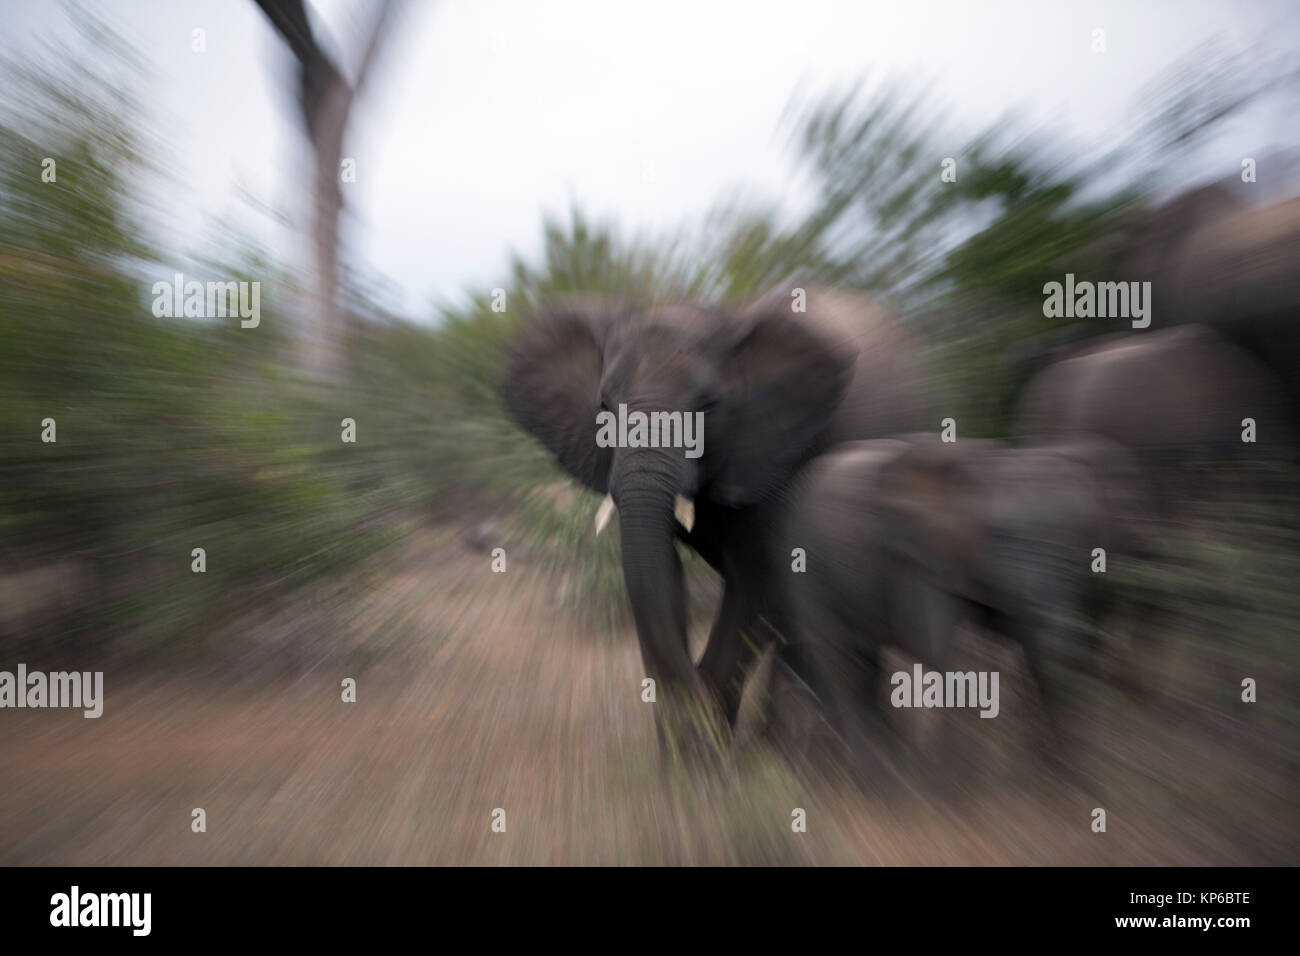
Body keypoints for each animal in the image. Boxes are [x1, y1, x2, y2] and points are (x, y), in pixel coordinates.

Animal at [501, 283, 930, 749]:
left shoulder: (779, 449)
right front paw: (687, 751)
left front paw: (706, 747)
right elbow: (660, 575)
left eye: (707, 406)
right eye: (603, 406)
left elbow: (760, 581)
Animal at [780, 434, 1138, 770]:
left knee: (865, 661)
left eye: (1086, 536)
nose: (1064, 766)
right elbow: (945, 652)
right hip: (806, 563)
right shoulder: (915, 564)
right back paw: (875, 775)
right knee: (838, 657)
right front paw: (954, 785)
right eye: (1000, 534)